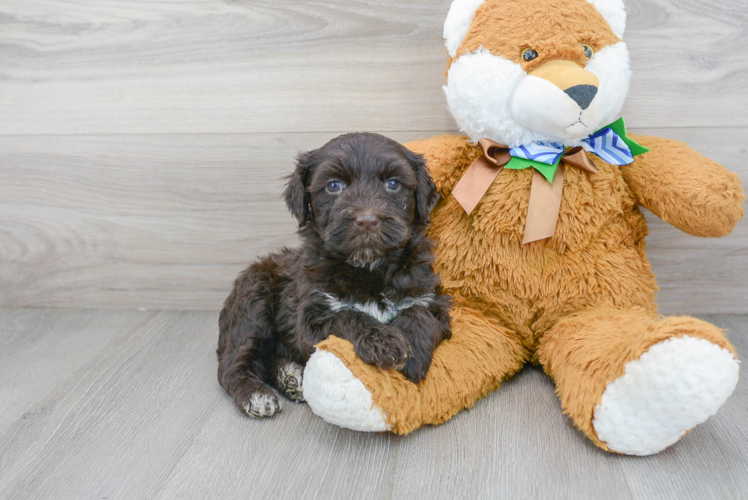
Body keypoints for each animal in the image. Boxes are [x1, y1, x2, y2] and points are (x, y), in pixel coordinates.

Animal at [216, 132, 450, 418]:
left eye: (393, 183)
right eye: (334, 185)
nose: (367, 221)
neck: (368, 268)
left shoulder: (431, 297)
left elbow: (420, 313)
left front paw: (413, 351)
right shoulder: (312, 316)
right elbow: (348, 315)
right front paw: (384, 342)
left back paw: (292, 377)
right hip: (253, 302)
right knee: (232, 364)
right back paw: (256, 394)